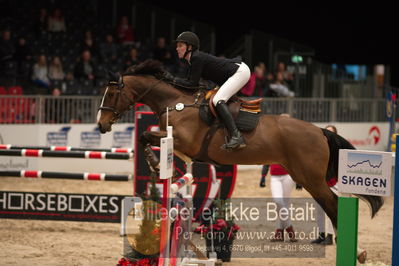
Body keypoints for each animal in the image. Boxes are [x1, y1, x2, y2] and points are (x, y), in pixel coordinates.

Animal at [97, 59, 384, 260]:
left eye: (110, 94)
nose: (101, 125)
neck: (177, 102)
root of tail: (320, 131)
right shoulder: (181, 147)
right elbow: (149, 140)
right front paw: (160, 166)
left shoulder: (183, 141)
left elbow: (145, 136)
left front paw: (156, 165)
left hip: (311, 178)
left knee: (333, 204)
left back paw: (357, 252)